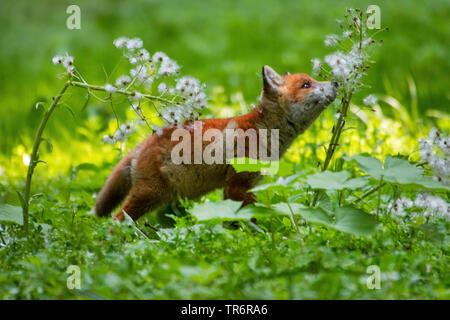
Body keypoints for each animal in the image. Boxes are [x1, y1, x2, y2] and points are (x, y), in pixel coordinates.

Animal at [95, 65, 336, 220]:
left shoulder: (236, 189)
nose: (335, 82)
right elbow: (252, 217)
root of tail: (142, 144)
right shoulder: (237, 185)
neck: (263, 130)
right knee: (117, 220)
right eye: (306, 84)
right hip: (149, 195)